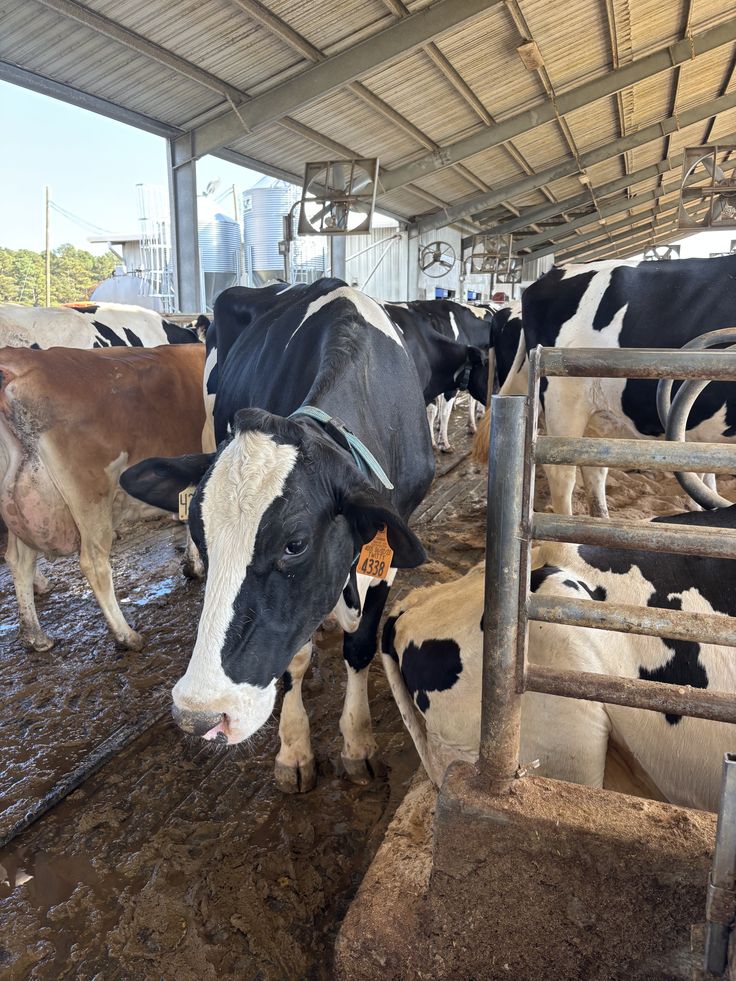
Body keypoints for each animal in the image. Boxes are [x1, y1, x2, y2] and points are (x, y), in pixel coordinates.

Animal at [0, 343, 206, 651]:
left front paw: (193, 566)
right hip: (91, 498)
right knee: (93, 562)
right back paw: (127, 636)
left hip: (24, 504)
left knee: (19, 561)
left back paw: (37, 636)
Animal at [120, 279, 434, 793]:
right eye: (201, 532)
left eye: (295, 544)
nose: (199, 716)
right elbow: (294, 662)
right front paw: (295, 750)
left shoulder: (389, 548)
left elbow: (360, 647)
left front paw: (358, 743)